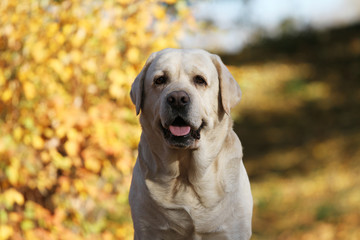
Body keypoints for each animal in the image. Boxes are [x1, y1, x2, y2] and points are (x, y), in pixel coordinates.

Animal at [130, 47, 253, 239]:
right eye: (160, 80)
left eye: (199, 80)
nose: (177, 98)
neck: (186, 176)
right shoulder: (147, 230)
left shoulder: (233, 230)